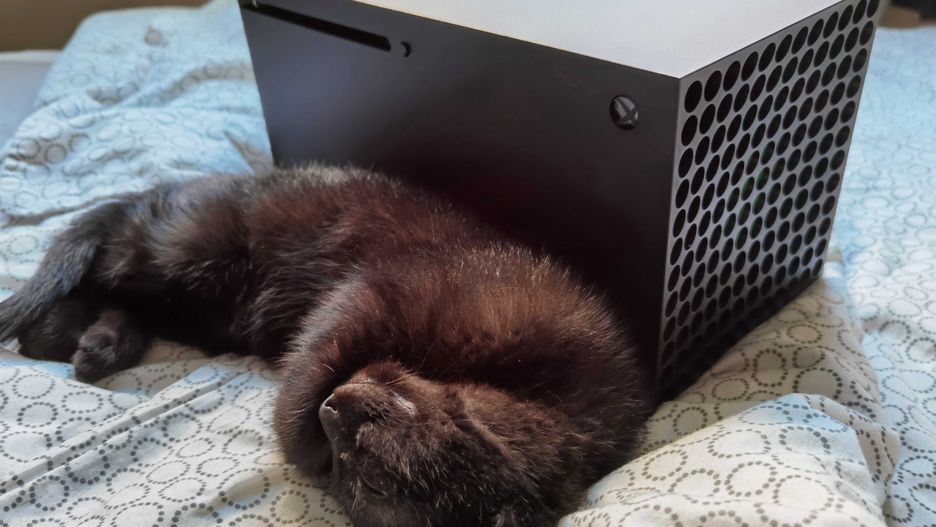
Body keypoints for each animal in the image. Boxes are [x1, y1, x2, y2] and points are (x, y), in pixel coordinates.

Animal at [0, 165, 652, 526]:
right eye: (400, 405)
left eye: (367, 485)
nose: (334, 411)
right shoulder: (372, 295)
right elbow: (308, 370)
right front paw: (298, 429)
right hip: (181, 253)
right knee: (93, 262)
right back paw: (55, 334)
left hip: (194, 309)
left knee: (118, 297)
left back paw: (92, 345)